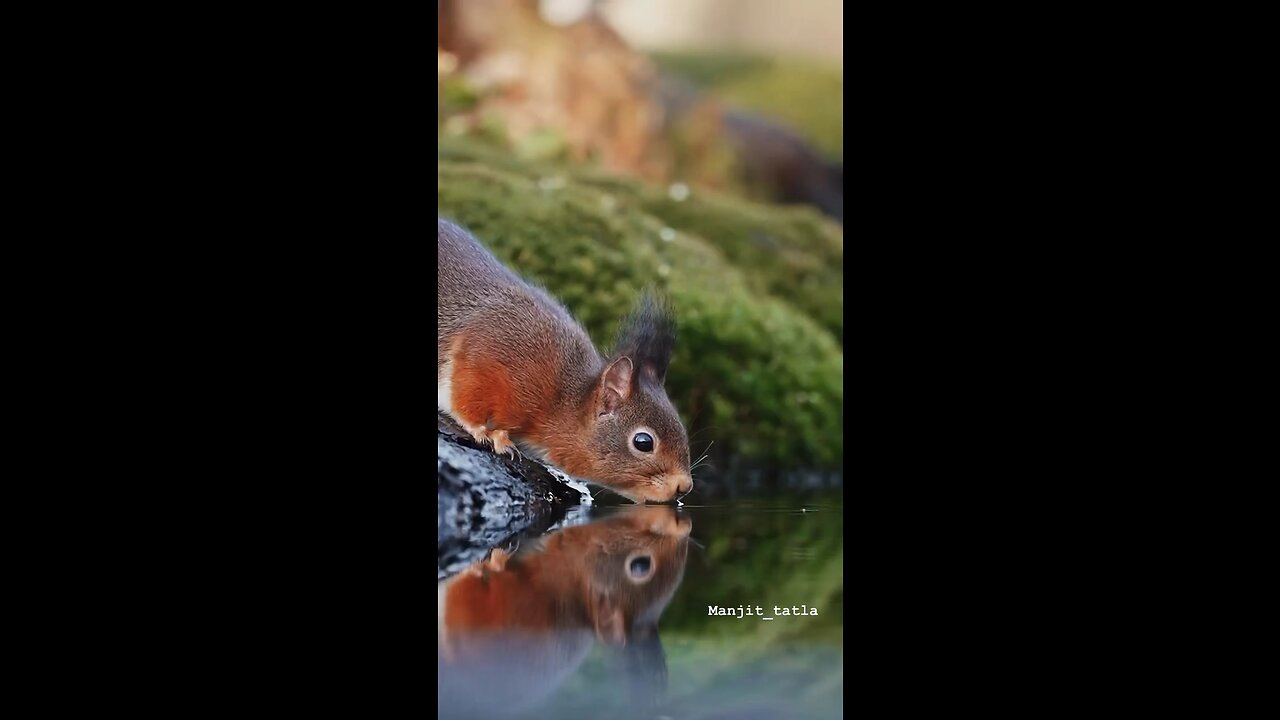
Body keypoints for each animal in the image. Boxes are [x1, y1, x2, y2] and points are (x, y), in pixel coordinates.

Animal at [442, 215, 701, 502]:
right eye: (643, 442)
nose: (684, 487)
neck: (560, 398)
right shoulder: (488, 351)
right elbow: (466, 398)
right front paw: (488, 433)